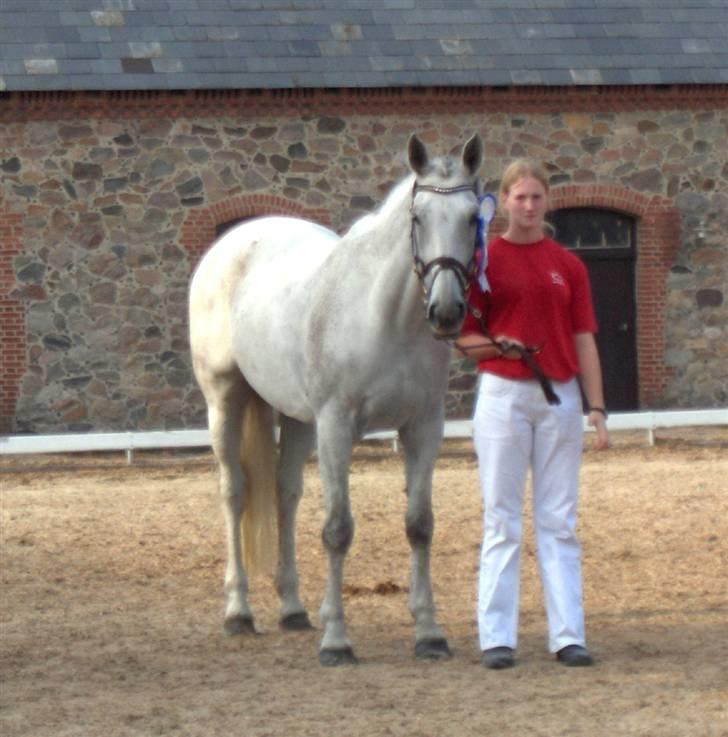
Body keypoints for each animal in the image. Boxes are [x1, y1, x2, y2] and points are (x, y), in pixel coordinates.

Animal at [189, 134, 484, 668]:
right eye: (418, 217)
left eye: (473, 217)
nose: (447, 310)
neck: (384, 316)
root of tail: (232, 243)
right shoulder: (336, 425)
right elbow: (337, 529)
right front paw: (337, 641)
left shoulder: (423, 427)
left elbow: (420, 525)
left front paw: (429, 634)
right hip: (225, 398)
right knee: (234, 493)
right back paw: (238, 612)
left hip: (296, 419)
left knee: (285, 494)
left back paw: (292, 608)